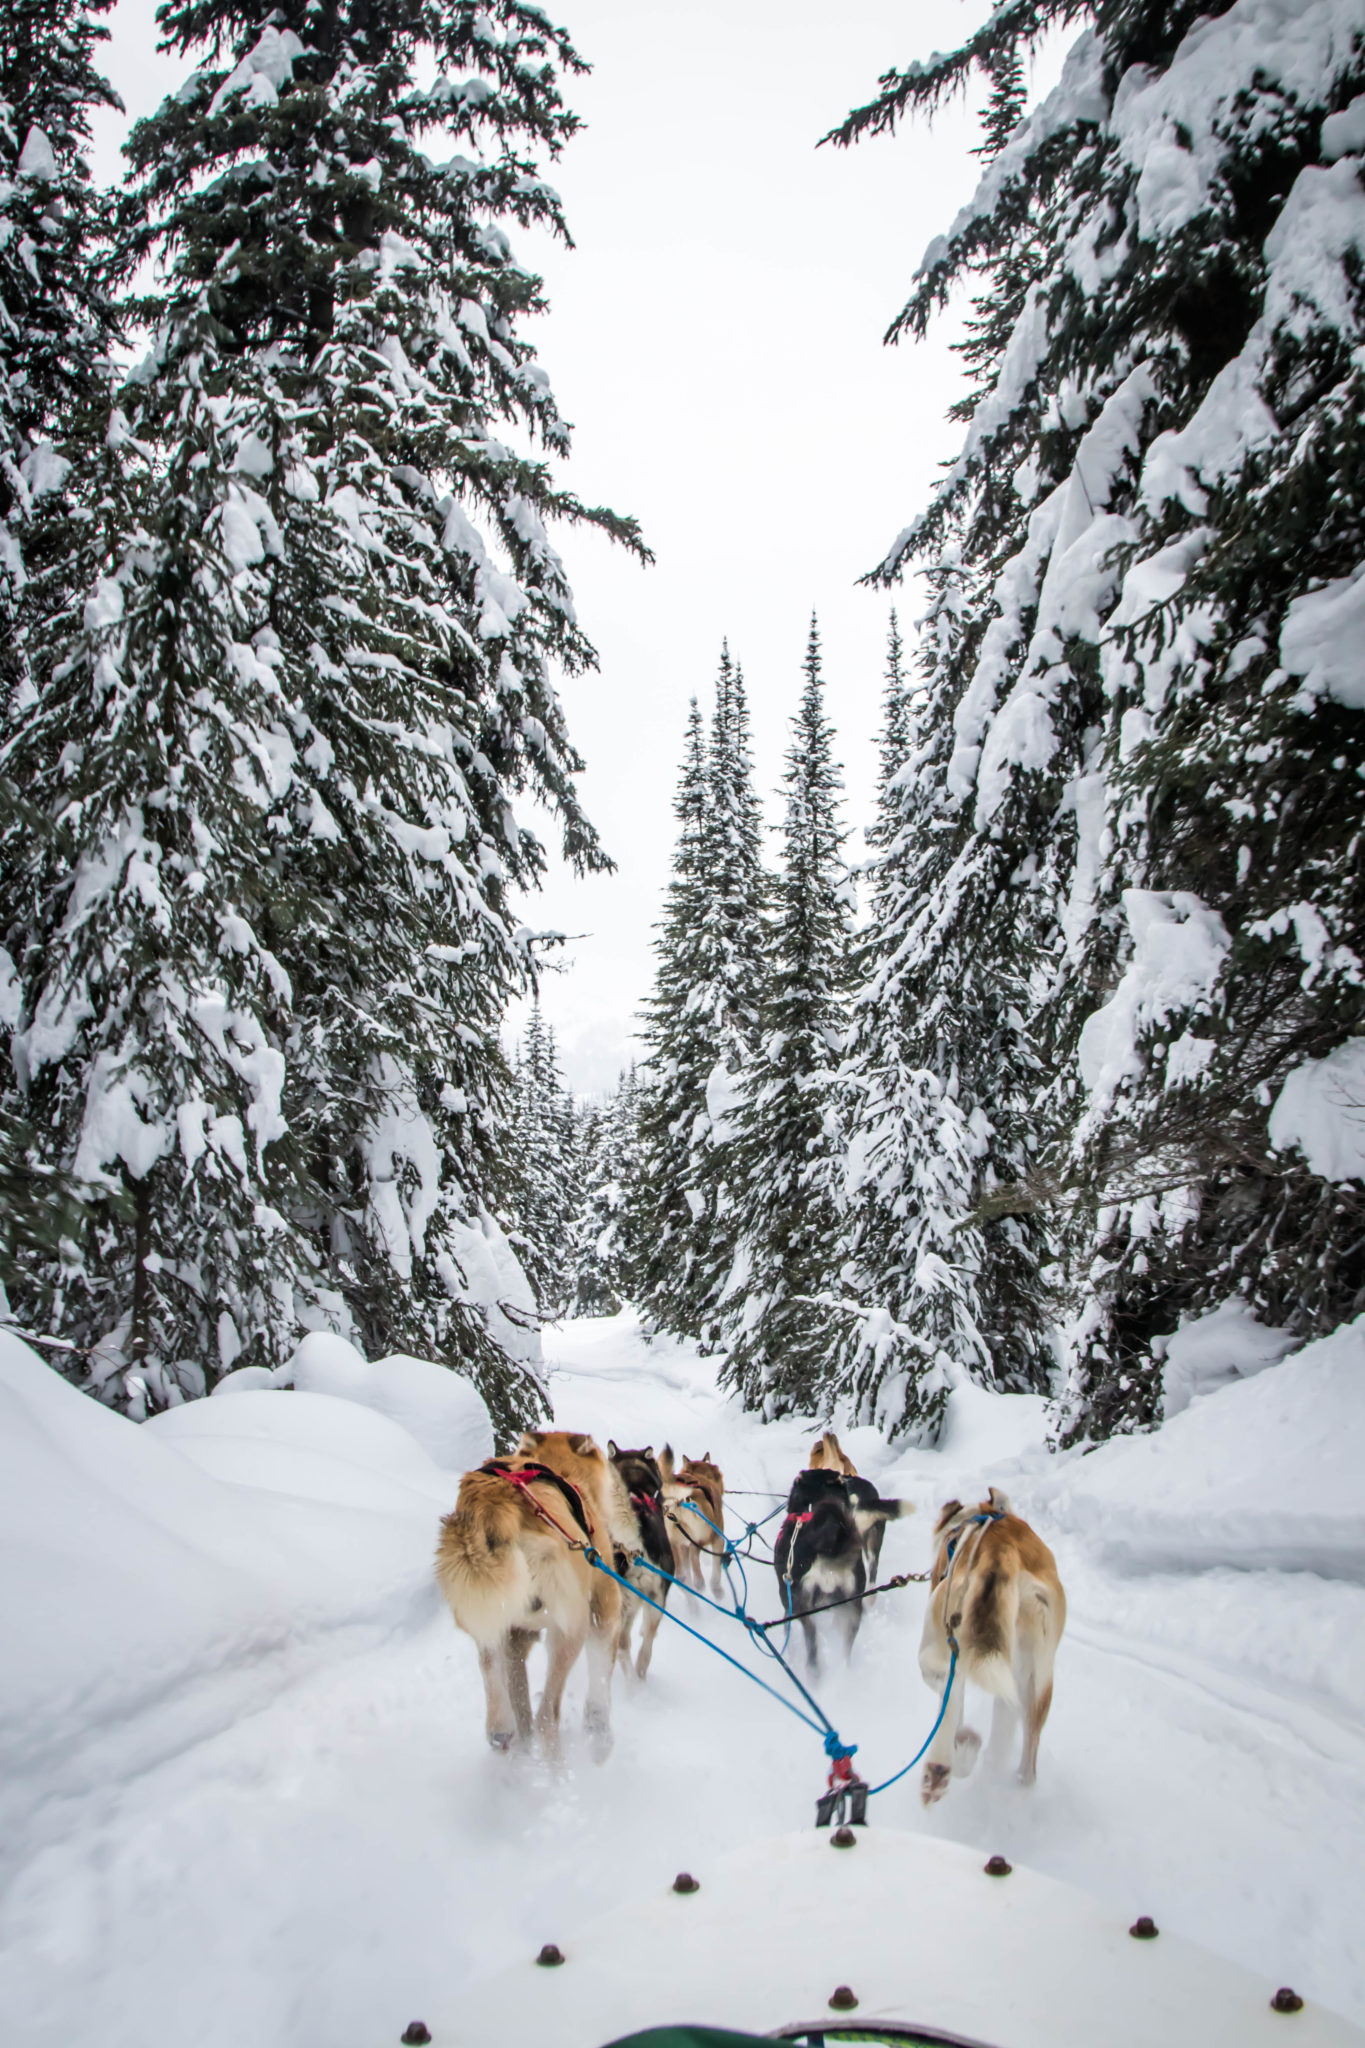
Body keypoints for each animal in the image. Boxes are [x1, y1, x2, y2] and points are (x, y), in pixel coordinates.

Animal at [437, 1425, 630, 1761]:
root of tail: (494, 1506)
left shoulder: (518, 1638)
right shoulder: (604, 1612)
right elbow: (600, 1680)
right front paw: (600, 1733)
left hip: (495, 1626)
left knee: (503, 1695)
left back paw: (506, 1737)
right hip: (570, 1630)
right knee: (545, 1718)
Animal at [658, 1449, 732, 1589]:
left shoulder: (682, 1544)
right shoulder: (718, 1538)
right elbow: (716, 1569)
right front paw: (716, 1587)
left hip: (674, 1540)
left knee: (680, 1565)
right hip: (702, 1536)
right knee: (694, 1552)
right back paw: (699, 1582)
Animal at [916, 1482, 1064, 1802]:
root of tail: (1000, 1553)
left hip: (937, 1645)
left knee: (950, 1695)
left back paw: (943, 1764)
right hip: (1034, 1680)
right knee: (1026, 1760)